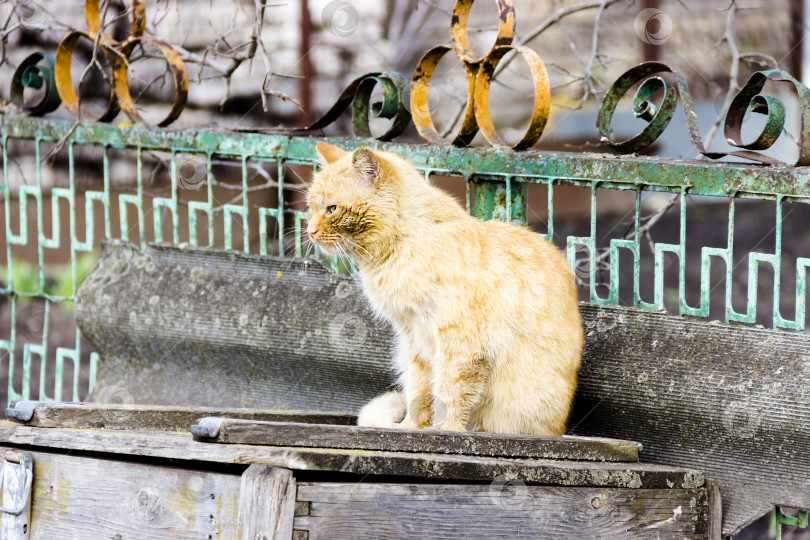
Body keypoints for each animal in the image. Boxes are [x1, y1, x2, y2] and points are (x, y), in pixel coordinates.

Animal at [304, 142, 580, 434]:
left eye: (332, 209)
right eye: (310, 208)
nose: (309, 231)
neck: (407, 243)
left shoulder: (460, 343)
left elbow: (451, 394)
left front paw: (446, 431)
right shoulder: (415, 340)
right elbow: (420, 393)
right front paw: (411, 428)